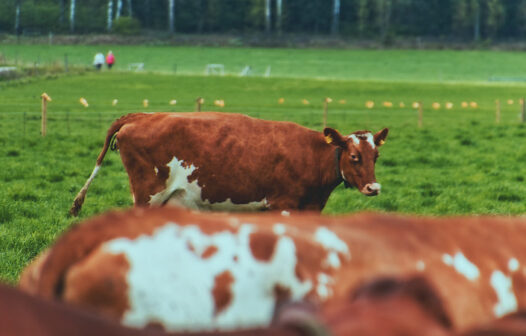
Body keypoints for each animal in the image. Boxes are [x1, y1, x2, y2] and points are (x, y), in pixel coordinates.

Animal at [70, 113, 390, 215]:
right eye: (354, 157)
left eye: (376, 156)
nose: (374, 188)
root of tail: (142, 115)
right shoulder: (283, 205)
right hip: (148, 197)